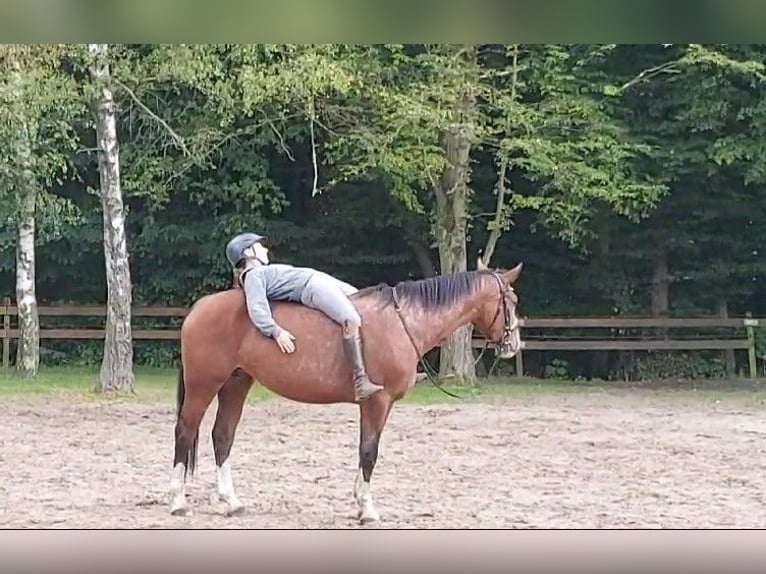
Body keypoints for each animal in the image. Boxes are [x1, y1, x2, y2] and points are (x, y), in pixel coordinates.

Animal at [170, 258, 524, 524]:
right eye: (512, 301)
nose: (514, 345)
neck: (404, 322)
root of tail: (199, 307)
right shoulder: (377, 402)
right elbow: (369, 452)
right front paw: (367, 509)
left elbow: (366, 450)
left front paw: (360, 503)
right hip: (204, 385)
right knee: (185, 432)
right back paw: (178, 501)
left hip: (236, 383)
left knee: (222, 436)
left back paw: (230, 501)